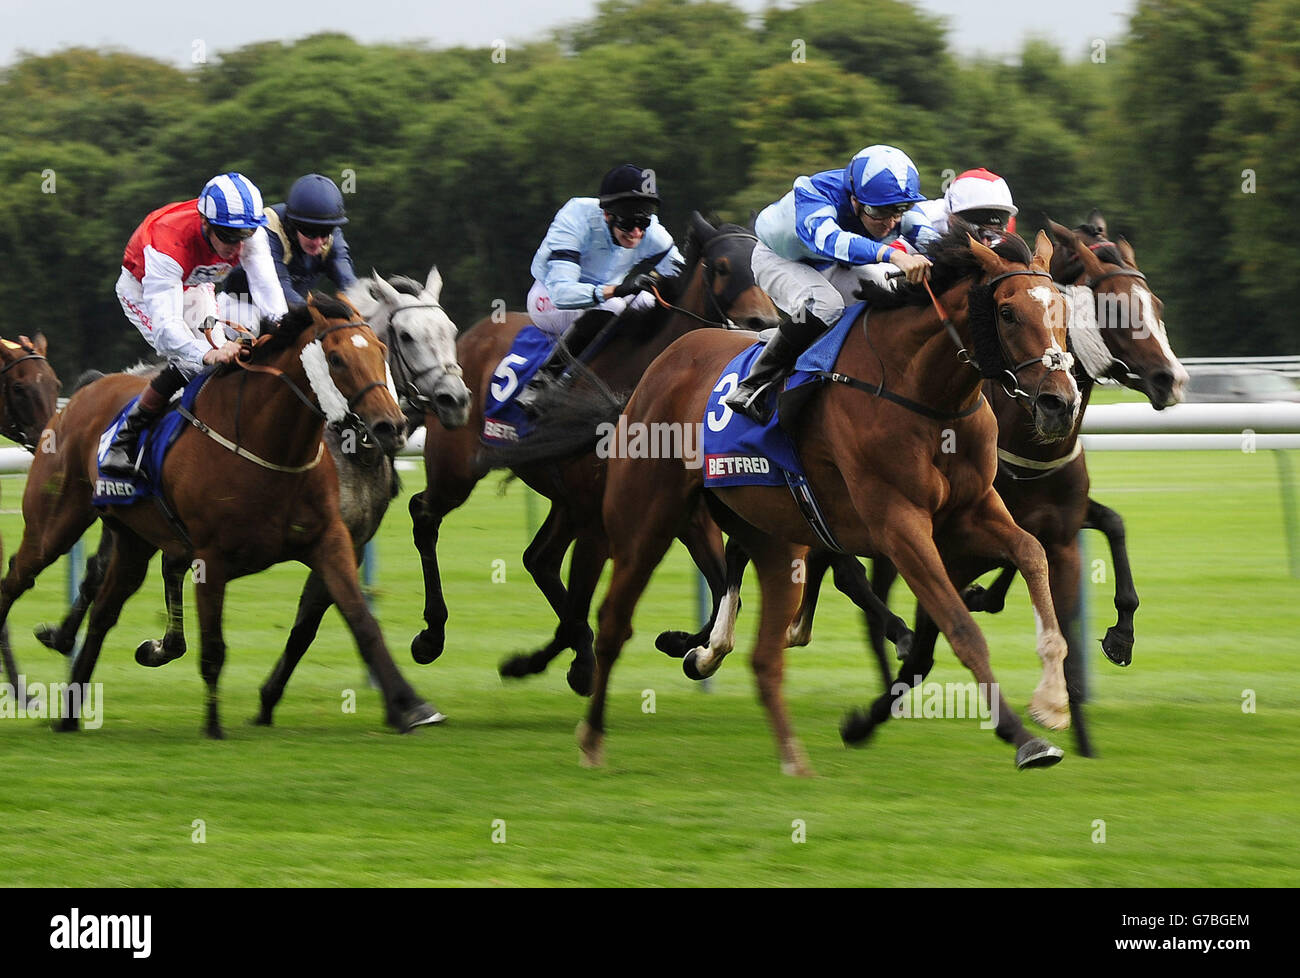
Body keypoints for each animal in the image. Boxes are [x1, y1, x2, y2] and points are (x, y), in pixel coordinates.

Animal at [408, 217, 769, 697]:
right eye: (723, 266)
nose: (760, 322)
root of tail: (468, 339)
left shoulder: (688, 515)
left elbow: (724, 590)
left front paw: (680, 643)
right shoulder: (600, 516)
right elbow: (585, 602)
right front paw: (578, 663)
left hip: (563, 499)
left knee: (539, 559)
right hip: (457, 471)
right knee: (424, 514)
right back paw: (433, 634)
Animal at [577, 223, 1076, 780]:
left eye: (1063, 307)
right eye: (1008, 312)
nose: (1059, 402)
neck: (922, 393)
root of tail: (665, 360)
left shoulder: (970, 513)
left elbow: (1032, 553)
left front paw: (1053, 700)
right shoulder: (899, 525)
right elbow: (961, 627)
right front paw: (1024, 739)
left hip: (769, 531)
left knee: (751, 619)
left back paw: (729, 677)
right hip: (646, 519)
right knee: (614, 621)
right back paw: (593, 738)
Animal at [780, 217, 1190, 754]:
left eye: (1157, 306)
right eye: (1116, 310)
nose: (1171, 379)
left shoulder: (1056, 523)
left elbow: (1105, 533)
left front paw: (1091, 684)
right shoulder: (945, 542)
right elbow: (935, 638)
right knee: (855, 583)